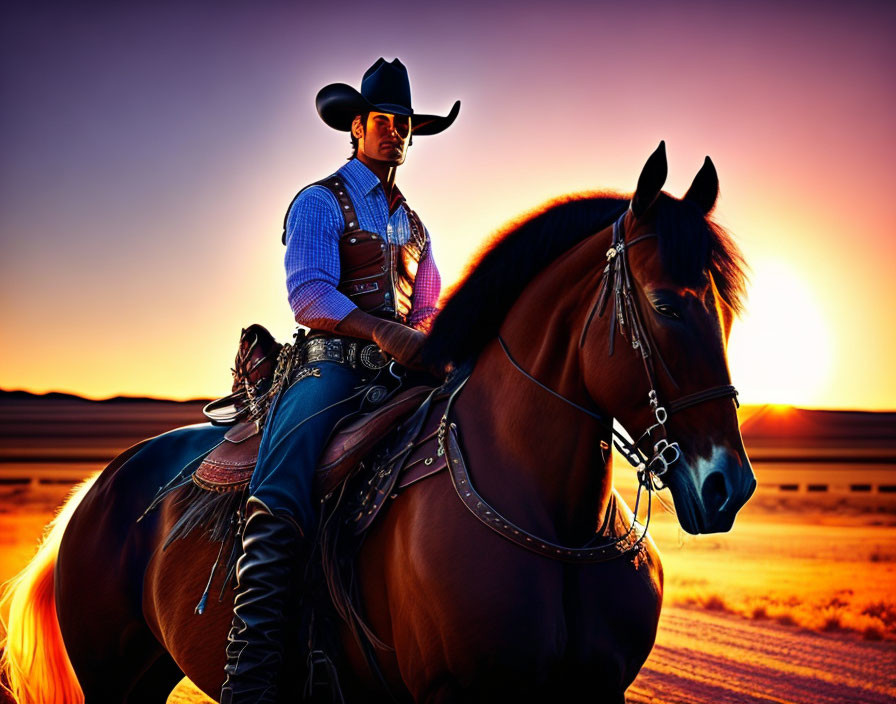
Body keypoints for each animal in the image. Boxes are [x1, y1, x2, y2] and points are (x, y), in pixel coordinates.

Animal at [0, 140, 756, 700]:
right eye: (665, 304)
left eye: (726, 310)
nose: (729, 486)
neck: (553, 521)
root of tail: (103, 483)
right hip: (111, 677)